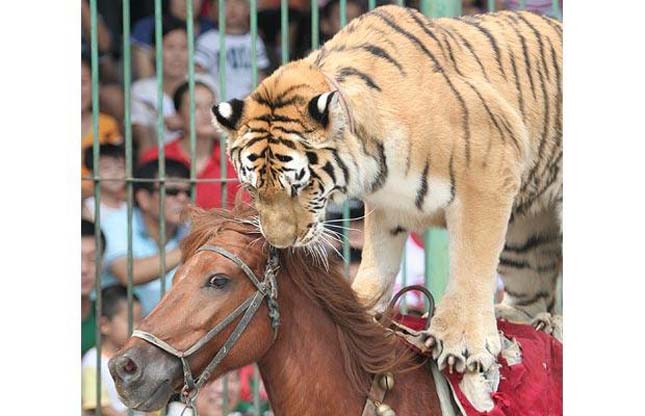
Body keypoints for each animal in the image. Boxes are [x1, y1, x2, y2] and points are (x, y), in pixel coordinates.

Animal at [210, 4, 560, 374]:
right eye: (252, 188)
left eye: (301, 185)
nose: (280, 244)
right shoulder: (388, 204)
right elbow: (378, 261)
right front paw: (358, 309)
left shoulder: (487, 174)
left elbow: (470, 263)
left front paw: (462, 342)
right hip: (523, 236)